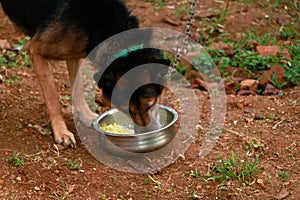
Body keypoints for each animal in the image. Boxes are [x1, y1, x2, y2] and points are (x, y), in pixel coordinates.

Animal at [0, 0, 170, 147]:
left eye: (151, 104)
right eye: (128, 110)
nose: (149, 136)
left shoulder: (74, 54)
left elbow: (78, 89)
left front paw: (85, 116)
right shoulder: (36, 51)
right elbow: (53, 99)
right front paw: (61, 132)